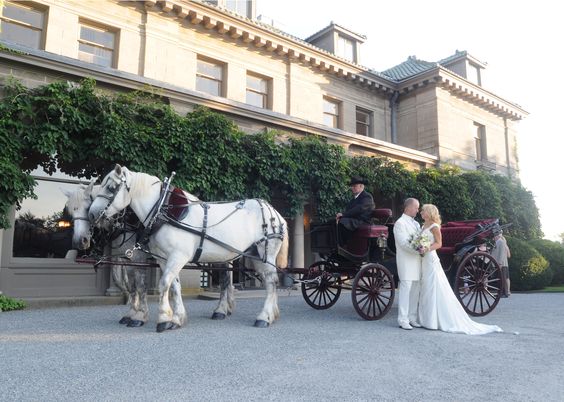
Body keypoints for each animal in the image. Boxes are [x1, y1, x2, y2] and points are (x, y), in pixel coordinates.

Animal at [90, 165, 288, 332]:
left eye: (110, 188)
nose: (92, 214)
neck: (162, 210)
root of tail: (275, 213)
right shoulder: (163, 258)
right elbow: (173, 286)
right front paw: (176, 318)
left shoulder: (177, 256)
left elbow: (162, 284)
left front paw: (162, 319)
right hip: (249, 256)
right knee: (245, 281)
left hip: (265, 253)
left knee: (271, 282)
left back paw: (264, 317)